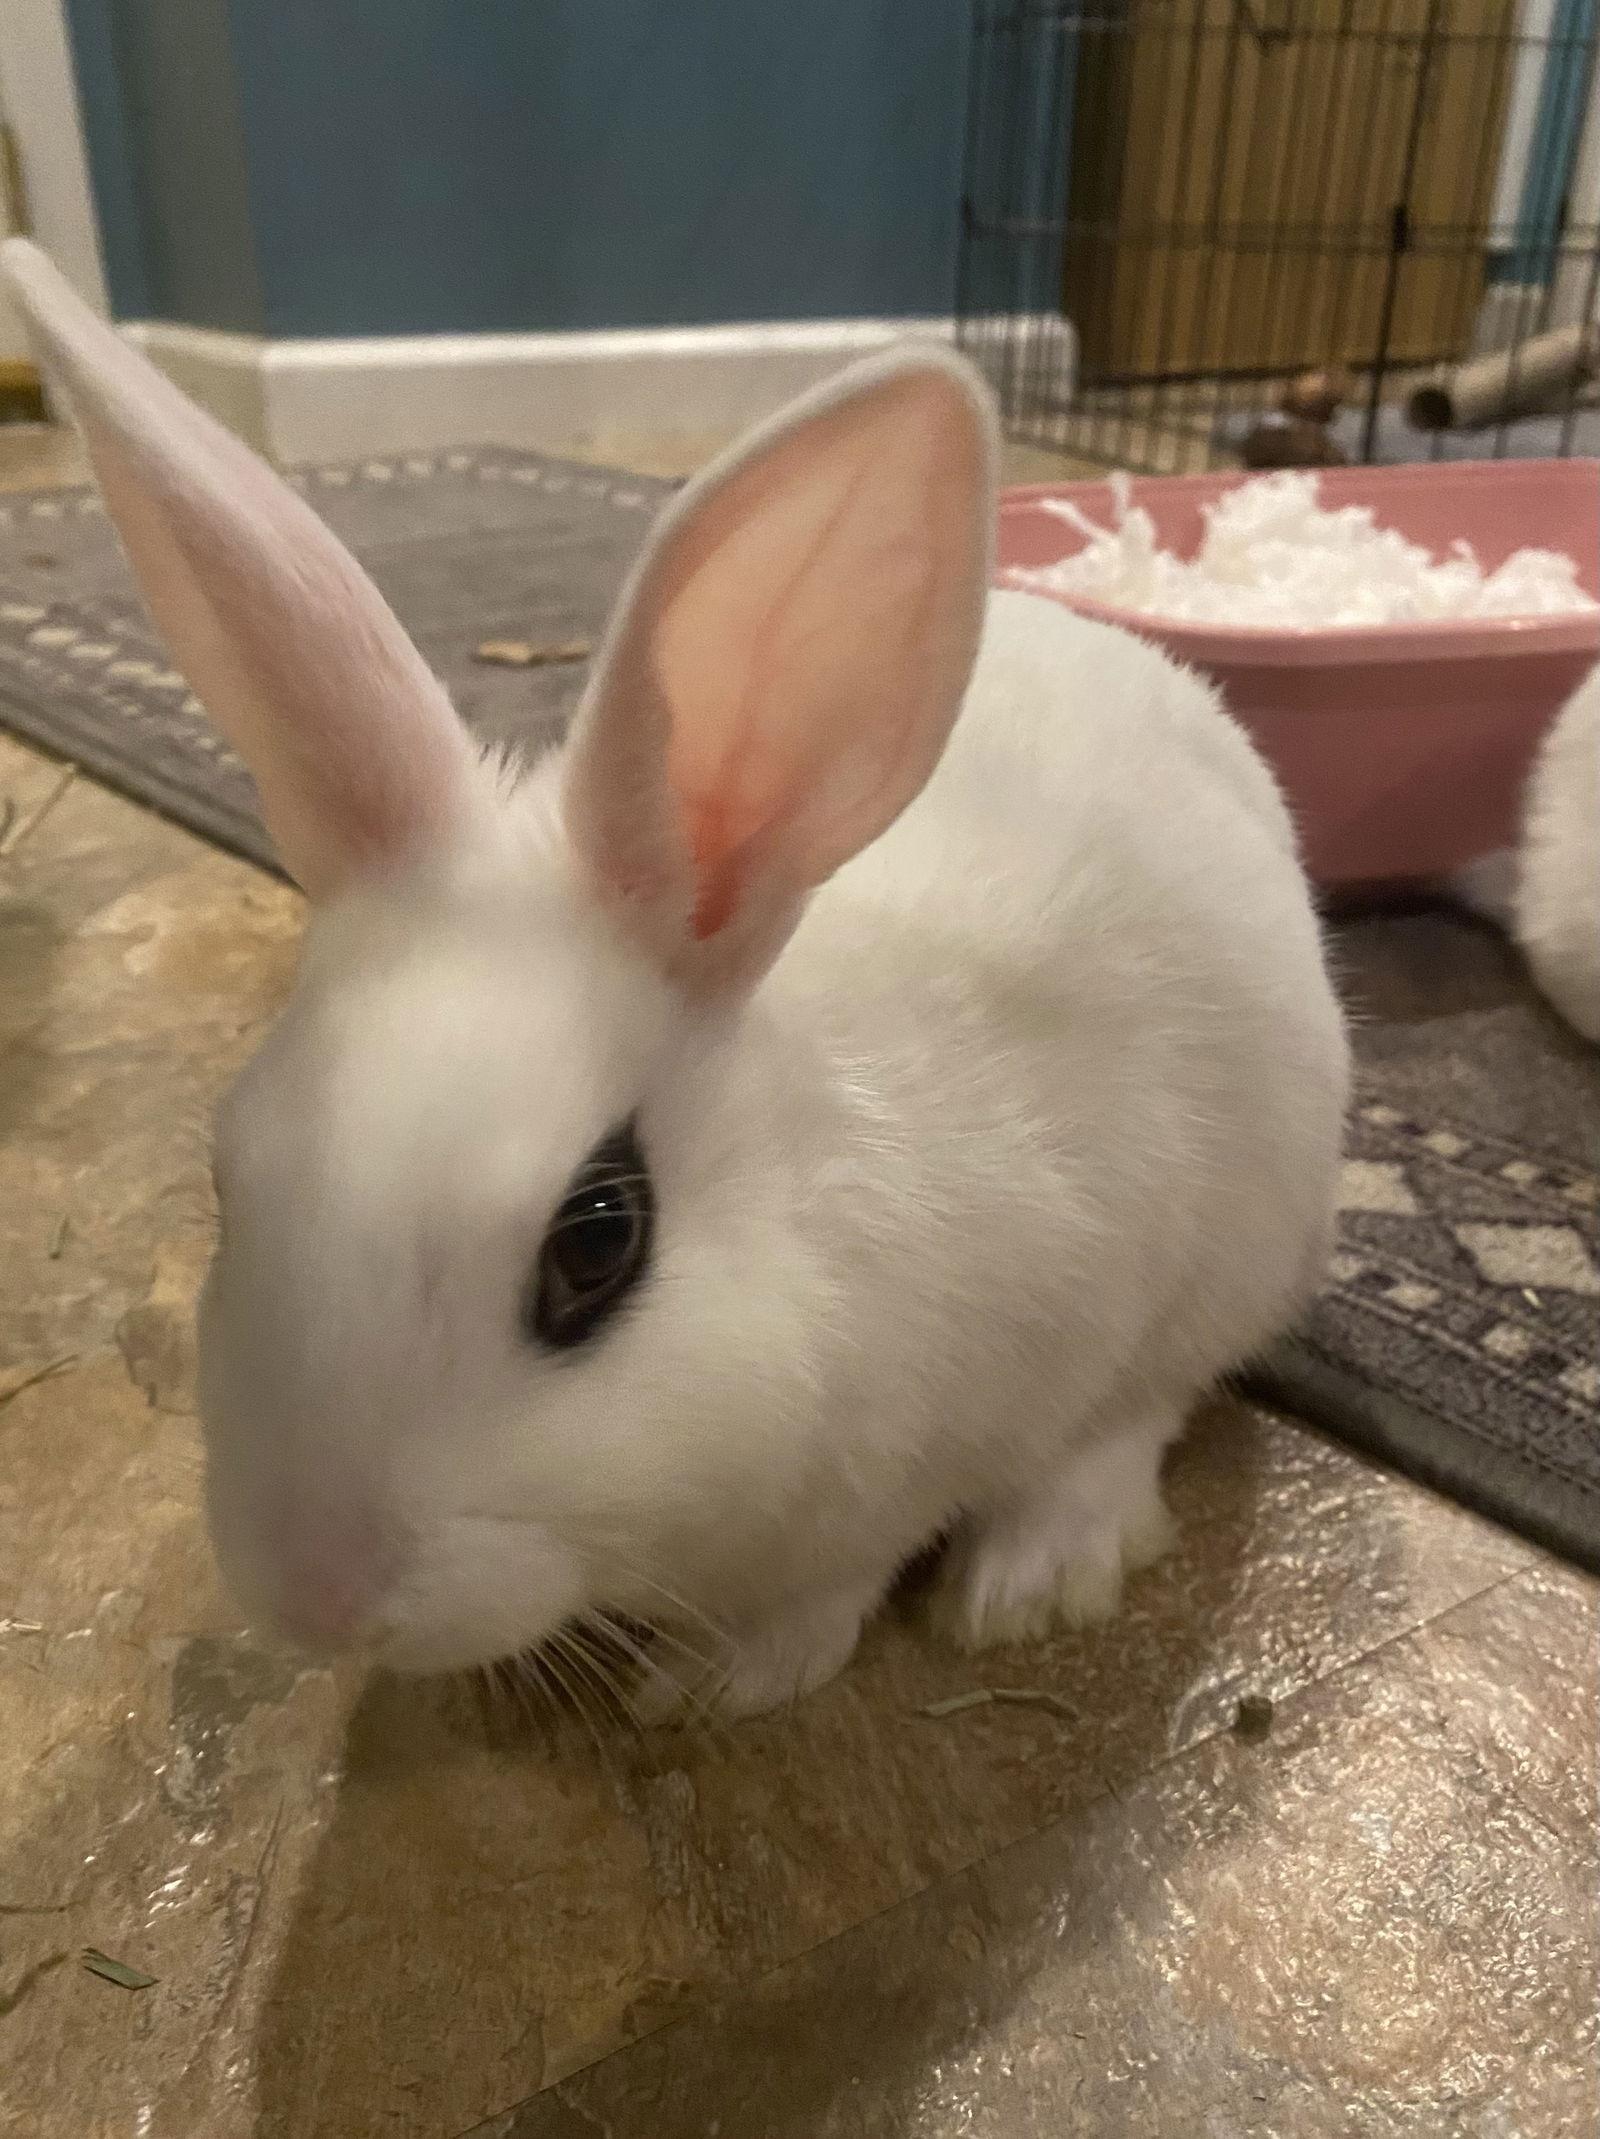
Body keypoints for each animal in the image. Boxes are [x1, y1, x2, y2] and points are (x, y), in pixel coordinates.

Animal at [3, 238, 1348, 1719]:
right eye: (227, 1178)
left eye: (598, 1241)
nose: (319, 1595)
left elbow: (861, 1563)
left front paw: (716, 1685)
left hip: (1252, 1224)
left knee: (1149, 1401)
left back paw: (1035, 1579)